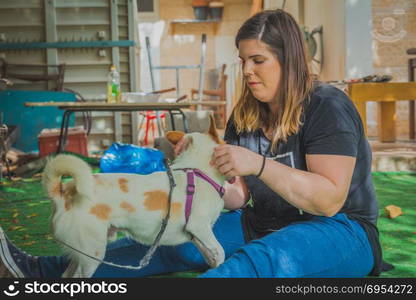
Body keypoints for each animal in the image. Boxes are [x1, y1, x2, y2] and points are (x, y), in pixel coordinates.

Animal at [42, 123, 228, 278]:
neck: (198, 169)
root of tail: (63, 191)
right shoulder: (199, 226)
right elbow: (220, 252)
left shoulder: (197, 236)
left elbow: (210, 256)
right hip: (92, 253)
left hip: (81, 253)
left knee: (65, 275)